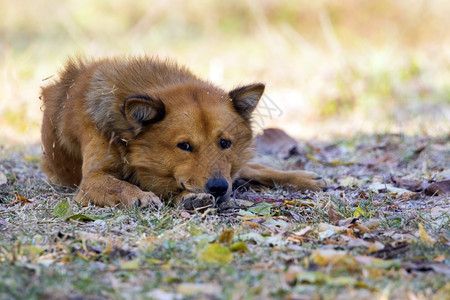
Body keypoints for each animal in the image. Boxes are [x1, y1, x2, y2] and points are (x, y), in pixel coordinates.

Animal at [40, 57, 324, 210]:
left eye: (225, 142)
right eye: (184, 146)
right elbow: (118, 184)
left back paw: (303, 178)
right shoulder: (89, 182)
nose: (218, 188)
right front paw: (140, 195)